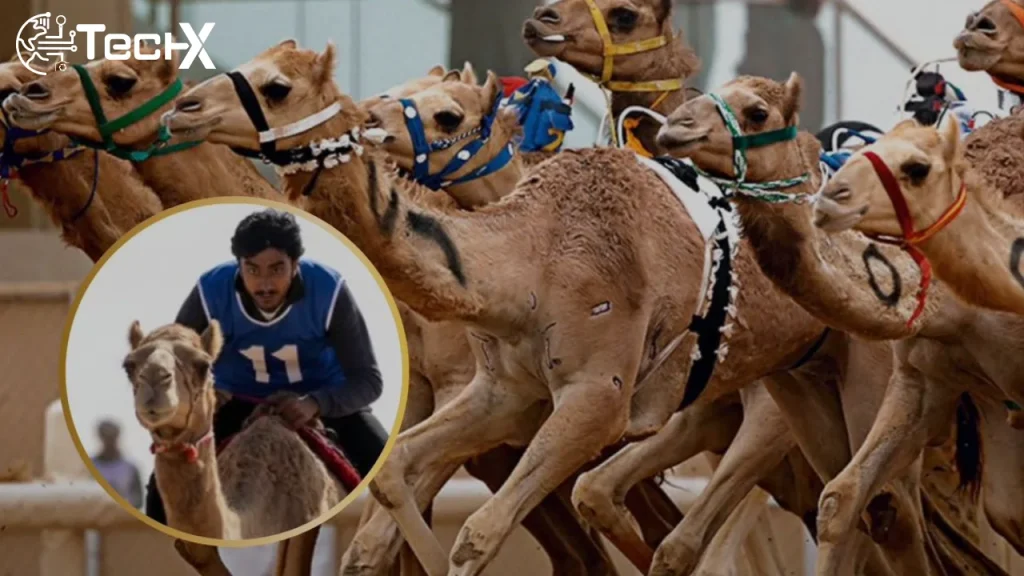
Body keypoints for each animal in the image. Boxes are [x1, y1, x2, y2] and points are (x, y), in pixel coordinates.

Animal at [159, 39, 981, 576]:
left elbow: (481, 531)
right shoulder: (501, 393)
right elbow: (391, 487)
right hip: (799, 382)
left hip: (873, 378)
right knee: (850, 505)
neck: (530, 253)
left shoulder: (594, 396)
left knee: (877, 506)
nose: (186, 106)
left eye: (275, 87)